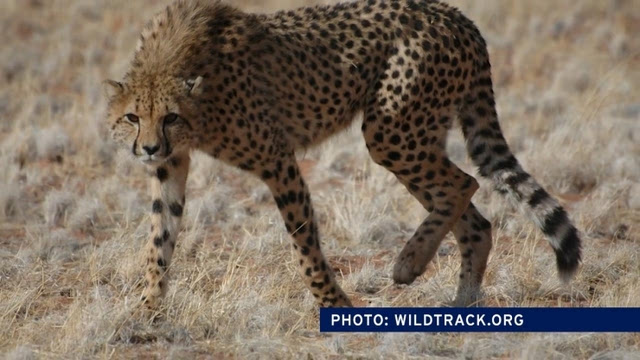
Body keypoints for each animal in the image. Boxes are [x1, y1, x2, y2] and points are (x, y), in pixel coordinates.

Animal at [106, 0, 584, 310]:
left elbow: (303, 241)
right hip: (414, 135)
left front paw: (333, 301)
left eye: (169, 117)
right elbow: (160, 238)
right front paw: (147, 309)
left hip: (392, 130)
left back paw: (408, 264)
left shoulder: (277, 160)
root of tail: (455, 15)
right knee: (474, 218)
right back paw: (461, 300)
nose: (148, 147)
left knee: (462, 183)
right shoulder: (171, 166)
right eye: (132, 117)